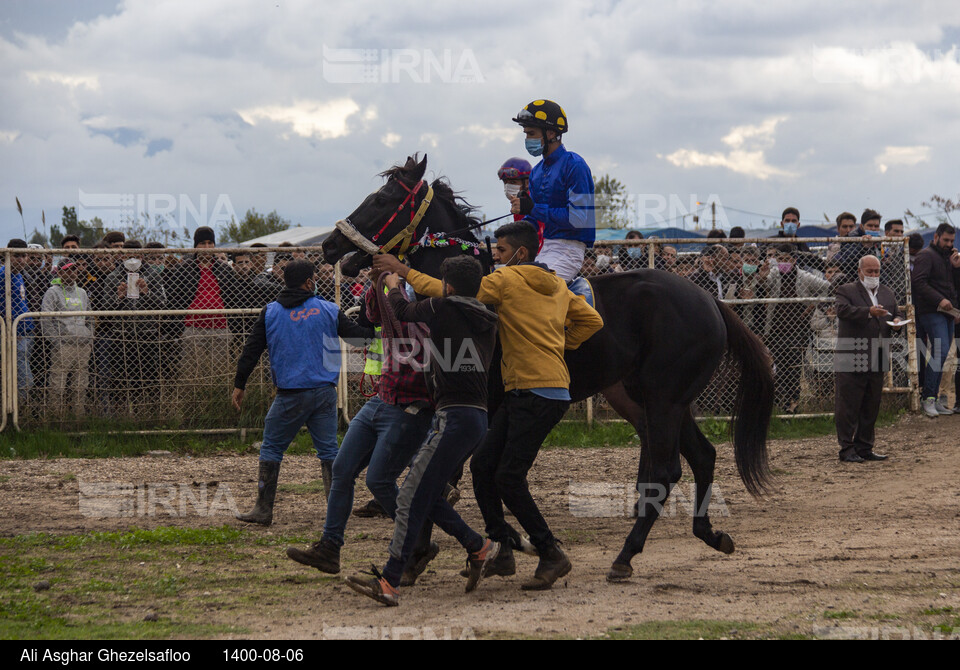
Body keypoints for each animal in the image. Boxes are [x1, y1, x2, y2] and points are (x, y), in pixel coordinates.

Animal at [320, 154, 772, 584]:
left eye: (383, 199)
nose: (328, 245)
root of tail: (710, 300)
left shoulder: (479, 403)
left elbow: (446, 477)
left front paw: (432, 553)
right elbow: (442, 476)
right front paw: (439, 553)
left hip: (664, 398)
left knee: (667, 468)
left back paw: (625, 556)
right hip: (651, 397)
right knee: (701, 456)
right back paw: (708, 532)